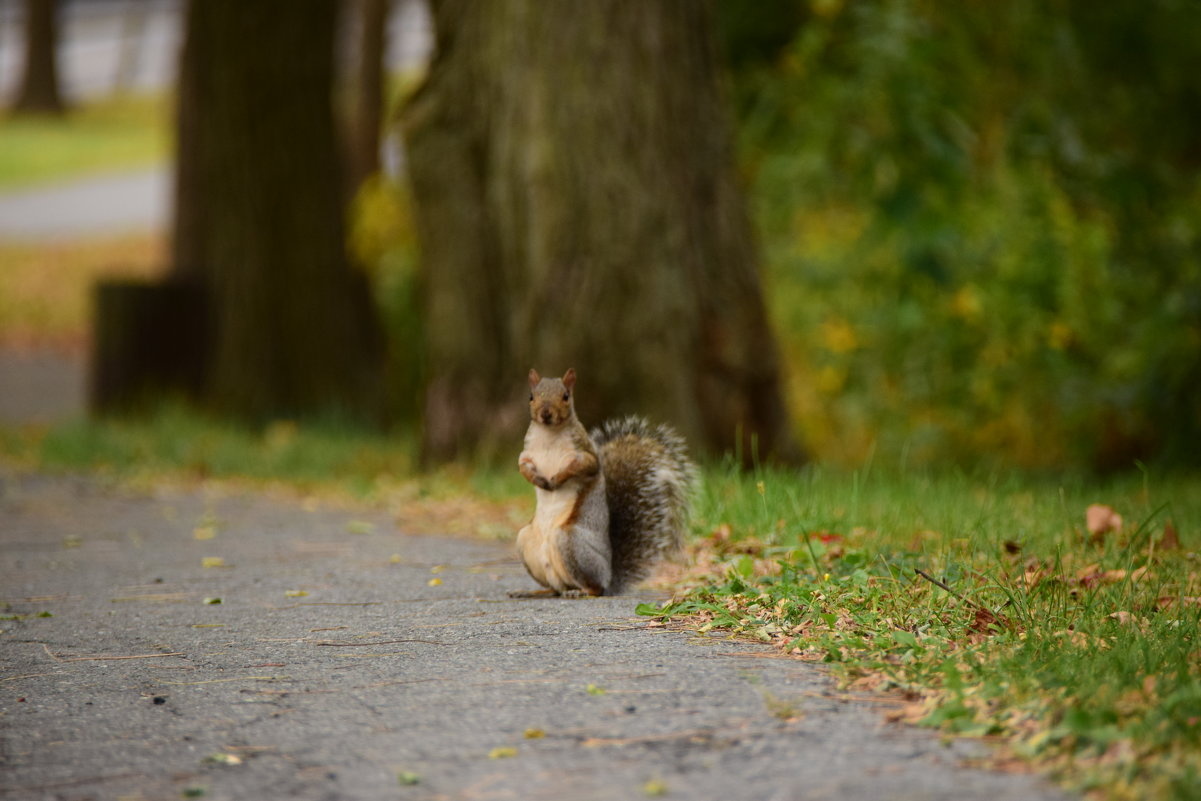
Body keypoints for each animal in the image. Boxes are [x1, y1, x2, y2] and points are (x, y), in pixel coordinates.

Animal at [514, 367, 696, 595]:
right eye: (531, 396)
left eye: (566, 396)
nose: (546, 413)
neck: (549, 435)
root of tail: (609, 578)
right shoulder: (526, 455)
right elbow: (523, 469)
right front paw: (539, 480)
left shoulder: (586, 454)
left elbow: (579, 467)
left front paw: (556, 478)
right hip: (526, 542)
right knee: (556, 588)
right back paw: (534, 592)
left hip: (569, 542)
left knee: (593, 588)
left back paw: (580, 592)